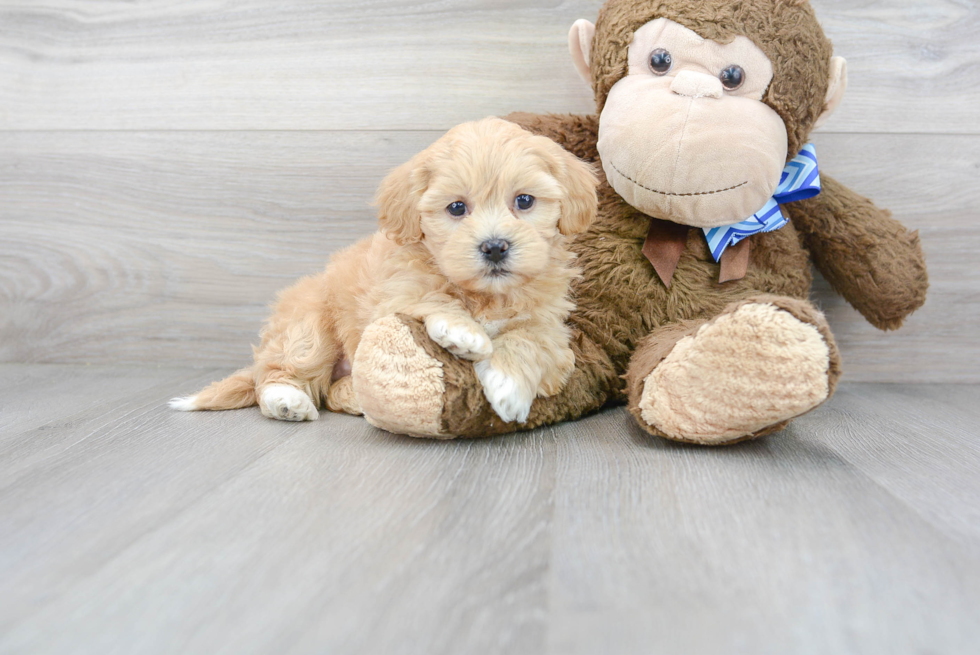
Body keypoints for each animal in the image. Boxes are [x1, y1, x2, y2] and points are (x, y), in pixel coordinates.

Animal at [170, 118, 596, 426]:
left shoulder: (553, 330)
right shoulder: (393, 293)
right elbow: (427, 296)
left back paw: (356, 398)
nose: (494, 247)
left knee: (330, 392)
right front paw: (462, 331)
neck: (484, 295)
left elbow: (529, 339)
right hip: (309, 323)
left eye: (524, 201)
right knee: (280, 371)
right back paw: (287, 400)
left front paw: (508, 386)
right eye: (457, 208)